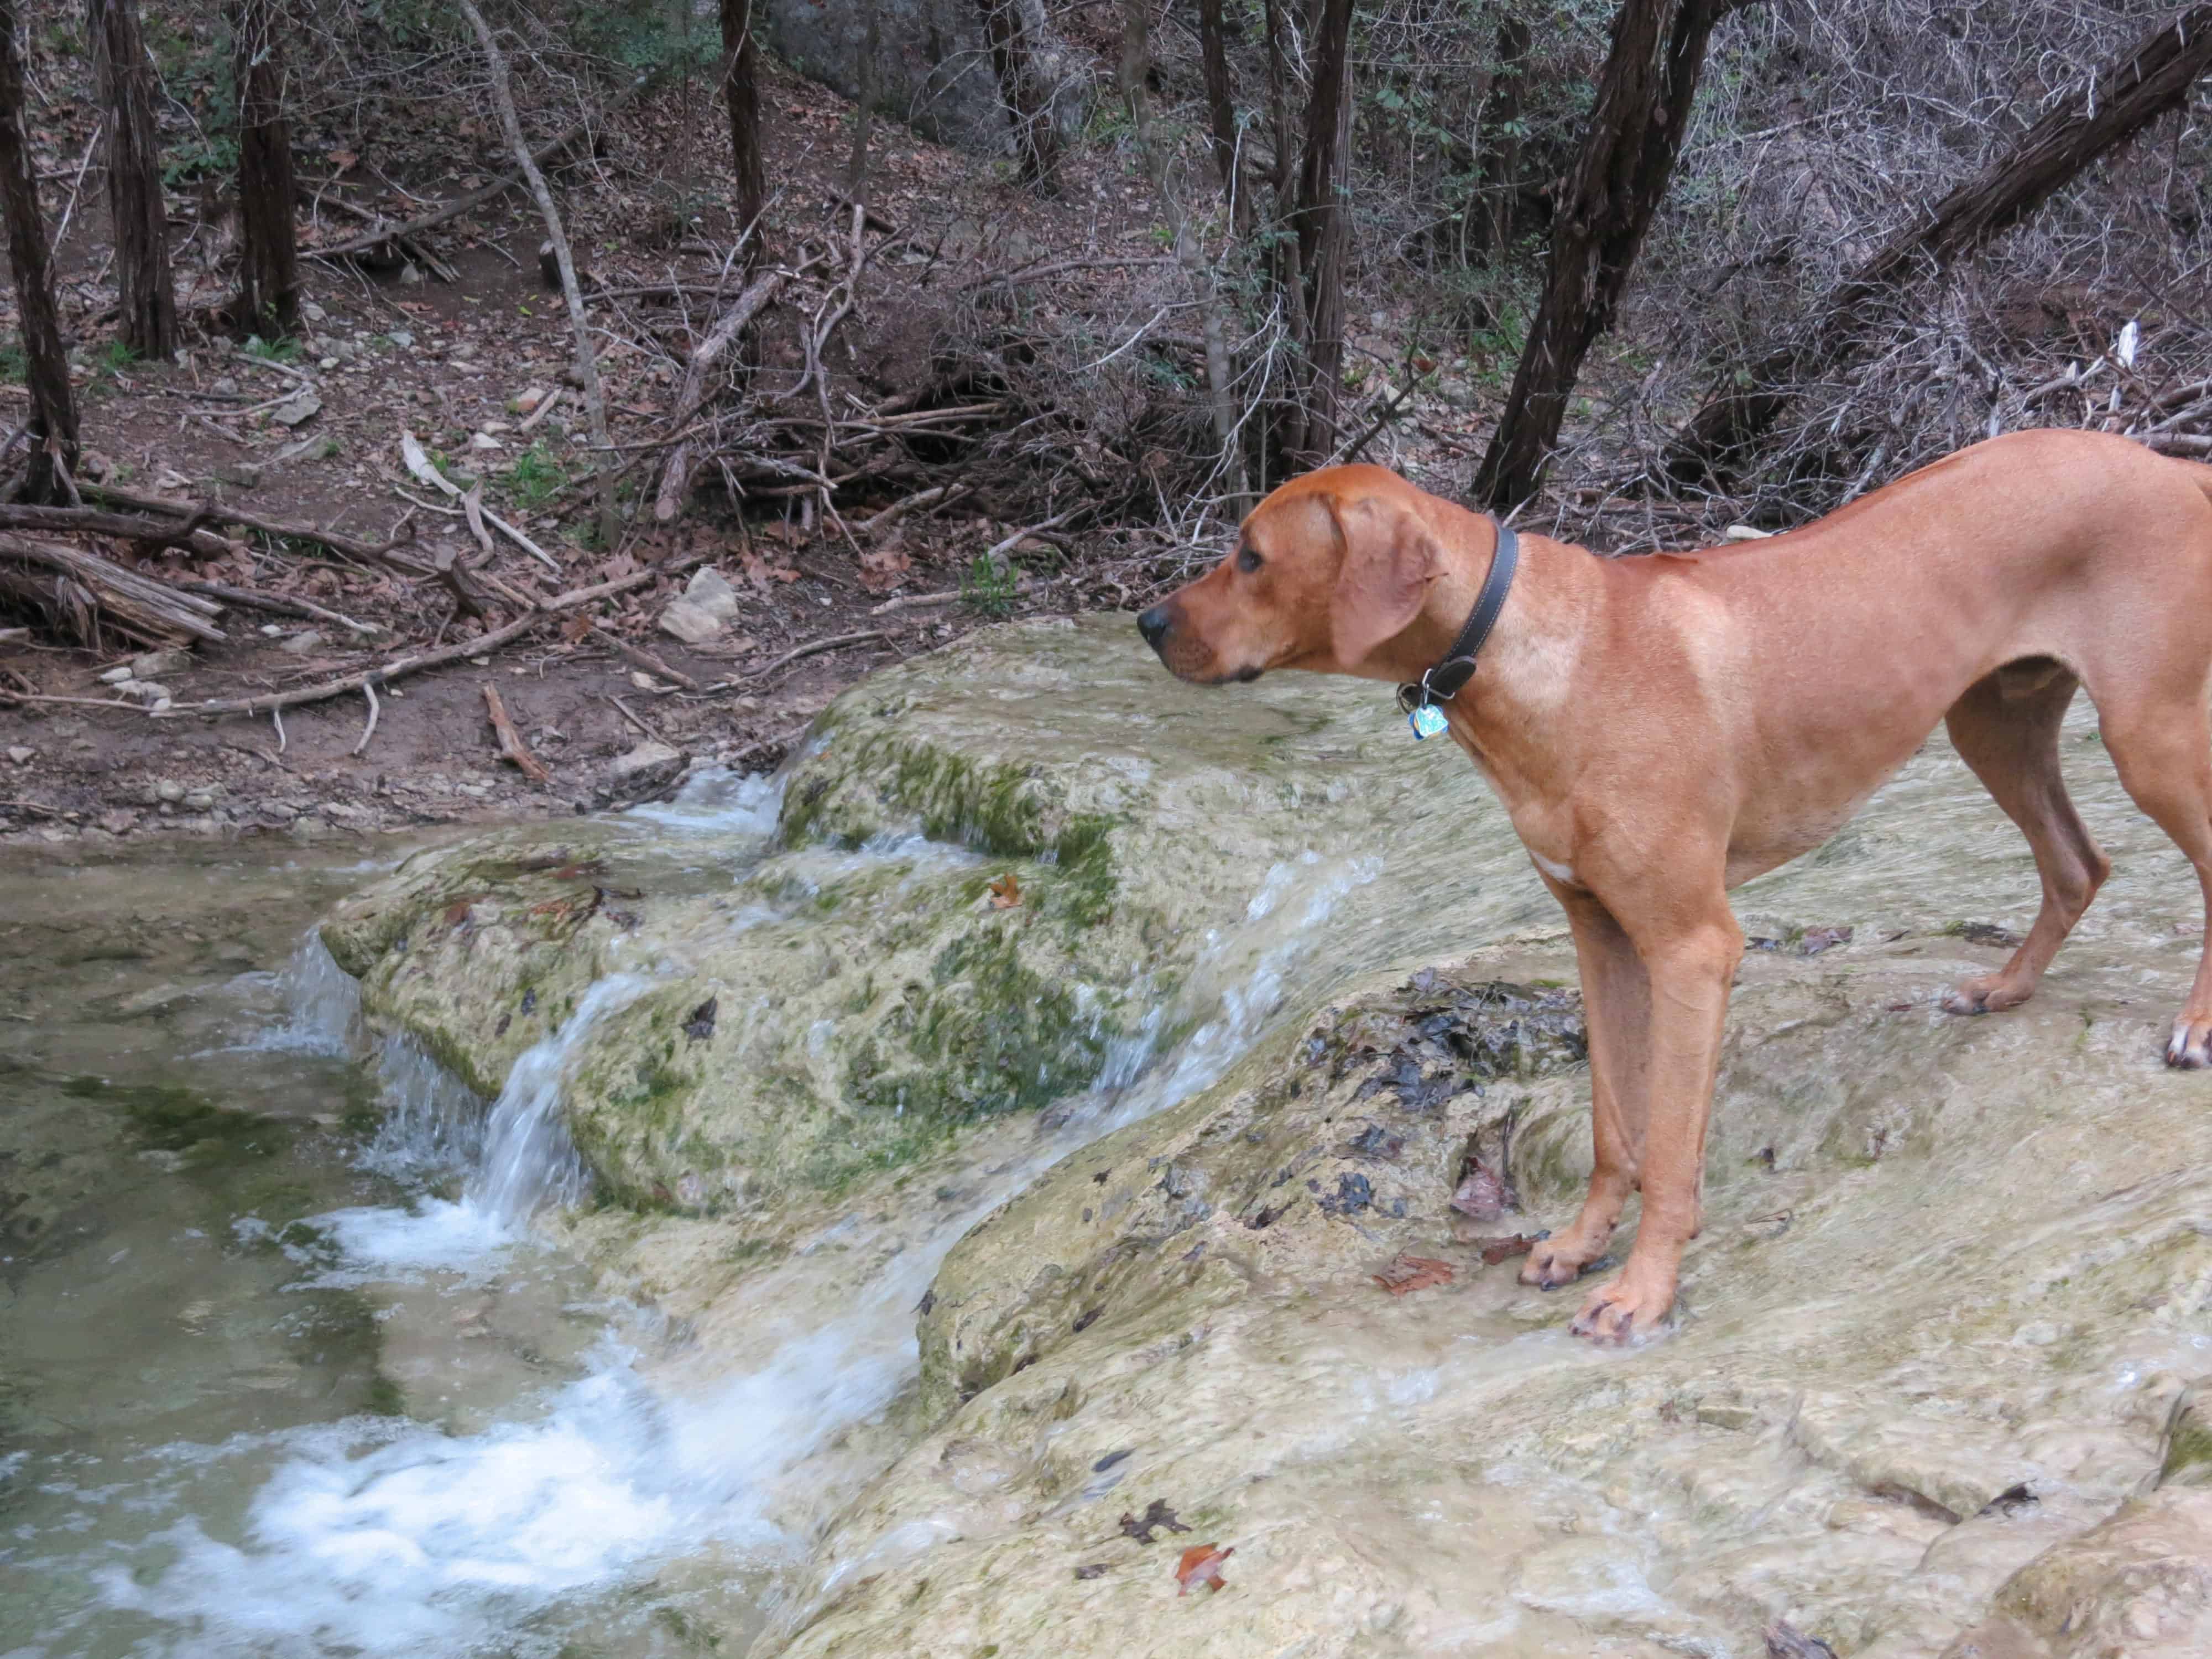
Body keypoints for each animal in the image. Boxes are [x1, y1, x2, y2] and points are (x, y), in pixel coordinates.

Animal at [1133, 429, 2212, 1336]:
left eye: (1251, 556)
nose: (1145, 622)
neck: (1537, 654)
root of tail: (2168, 465)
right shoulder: (1600, 934)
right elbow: (1618, 1125)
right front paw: (1580, 1244)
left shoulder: (1692, 948)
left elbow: (1668, 1144)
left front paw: (1643, 1291)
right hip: (1991, 722)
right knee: (2079, 863)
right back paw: (2007, 986)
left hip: (2148, 738)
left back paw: (2194, 1025)